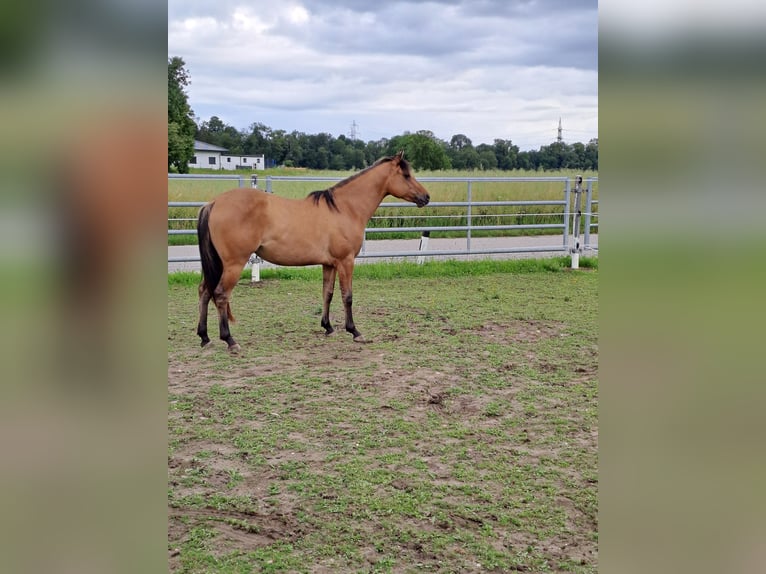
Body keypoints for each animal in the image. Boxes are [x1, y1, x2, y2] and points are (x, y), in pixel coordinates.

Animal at [195, 152, 432, 352]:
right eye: (406, 175)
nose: (426, 197)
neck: (344, 209)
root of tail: (214, 203)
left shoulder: (329, 264)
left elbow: (327, 293)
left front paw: (328, 327)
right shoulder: (346, 262)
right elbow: (347, 296)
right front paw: (354, 331)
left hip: (218, 264)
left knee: (205, 291)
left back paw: (205, 337)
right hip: (233, 264)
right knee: (220, 295)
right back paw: (229, 340)